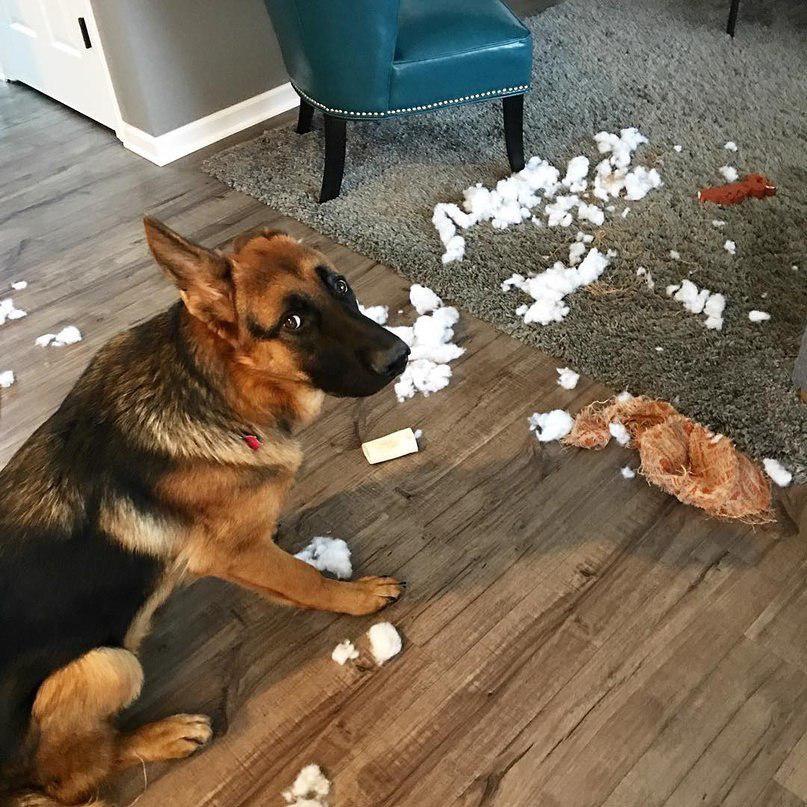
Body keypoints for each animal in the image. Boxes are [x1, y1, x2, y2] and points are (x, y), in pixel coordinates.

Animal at [0, 218, 408, 804]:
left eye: (340, 286)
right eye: (293, 322)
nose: (400, 356)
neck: (219, 385)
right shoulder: (232, 556)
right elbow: (306, 581)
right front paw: (354, 596)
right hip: (109, 665)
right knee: (69, 778)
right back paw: (164, 735)